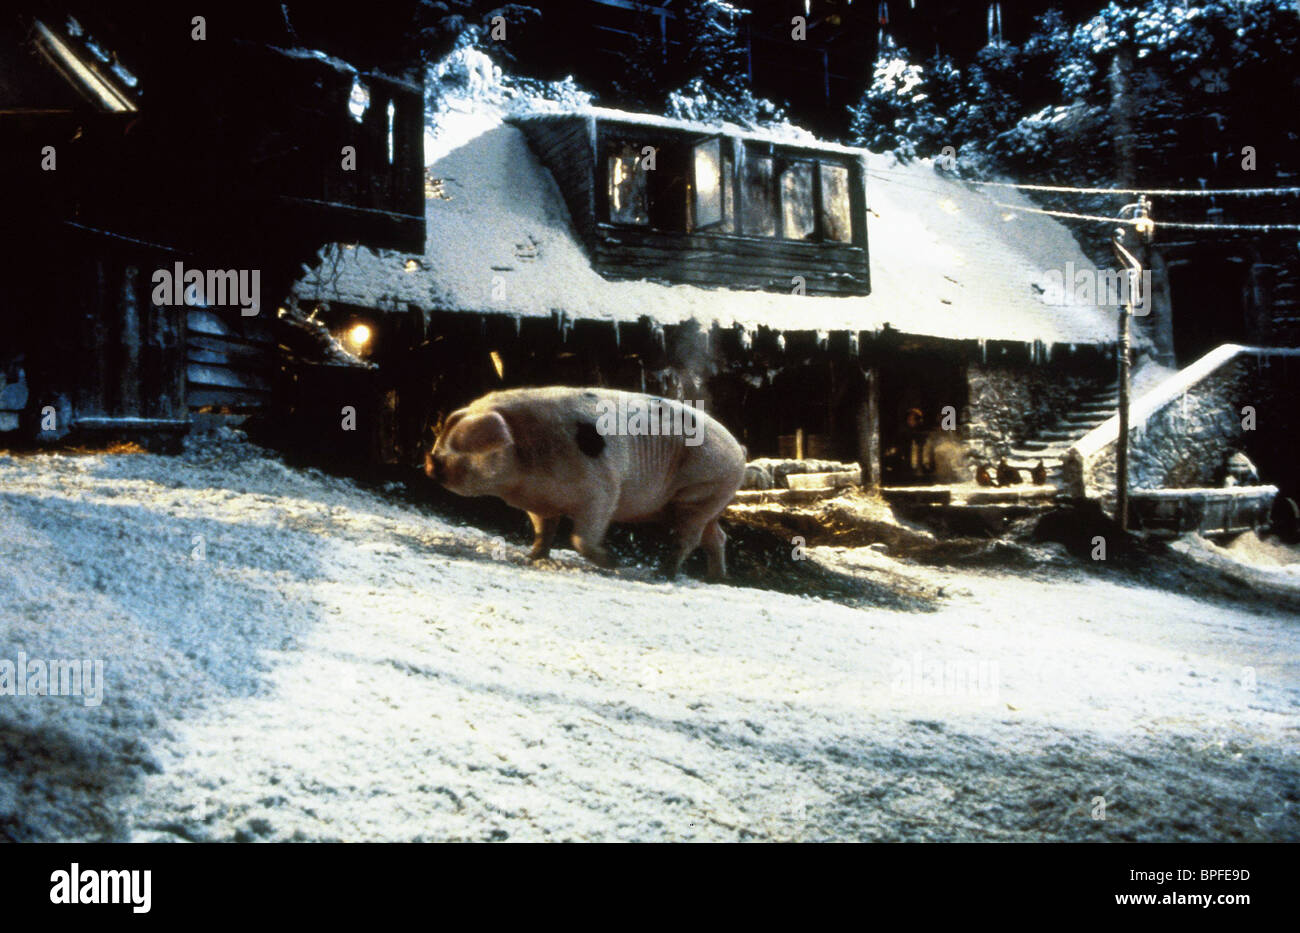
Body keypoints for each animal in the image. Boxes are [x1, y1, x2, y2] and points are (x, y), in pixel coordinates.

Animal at [426, 387, 746, 579]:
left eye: (464, 443)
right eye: (444, 436)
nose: (431, 459)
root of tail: (738, 449)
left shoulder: (602, 491)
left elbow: (580, 537)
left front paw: (615, 562)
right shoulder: (539, 502)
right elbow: (544, 530)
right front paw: (532, 557)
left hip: (701, 492)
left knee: (688, 538)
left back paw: (663, 574)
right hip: (708, 502)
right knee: (716, 537)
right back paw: (716, 578)